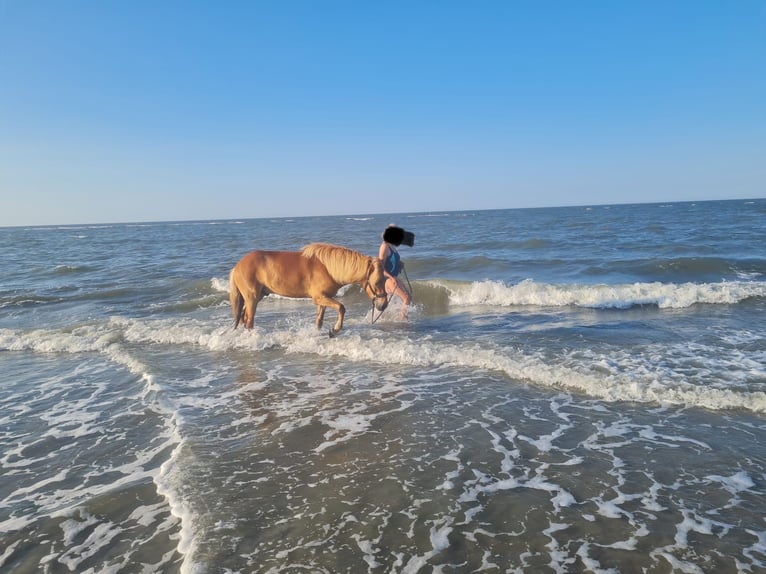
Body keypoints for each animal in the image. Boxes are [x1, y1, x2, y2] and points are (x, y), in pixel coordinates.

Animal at [228, 244, 390, 338]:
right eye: (377, 282)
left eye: (385, 280)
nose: (383, 305)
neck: (328, 268)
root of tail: (237, 267)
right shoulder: (319, 298)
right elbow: (341, 308)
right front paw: (335, 330)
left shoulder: (323, 300)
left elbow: (319, 321)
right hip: (252, 299)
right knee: (249, 321)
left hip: (255, 297)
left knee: (243, 318)